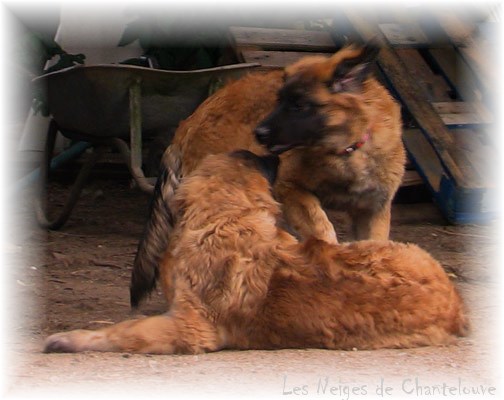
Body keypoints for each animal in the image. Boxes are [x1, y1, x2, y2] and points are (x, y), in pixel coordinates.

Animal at [130, 43, 406, 306]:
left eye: (299, 105)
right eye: (279, 100)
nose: (259, 133)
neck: (348, 150)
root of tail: (189, 121)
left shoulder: (373, 210)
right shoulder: (291, 191)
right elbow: (324, 230)